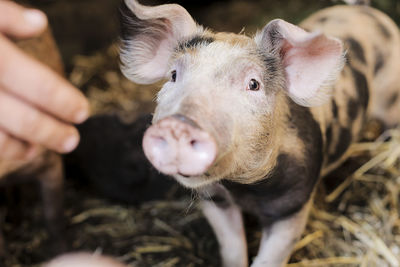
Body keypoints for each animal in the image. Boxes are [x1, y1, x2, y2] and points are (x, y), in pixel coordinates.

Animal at [119, 0, 400, 266]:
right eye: (174, 75)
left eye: (253, 84)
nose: (178, 124)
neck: (243, 189)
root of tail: (365, 10)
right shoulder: (215, 201)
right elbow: (232, 249)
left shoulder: (293, 207)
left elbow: (270, 258)